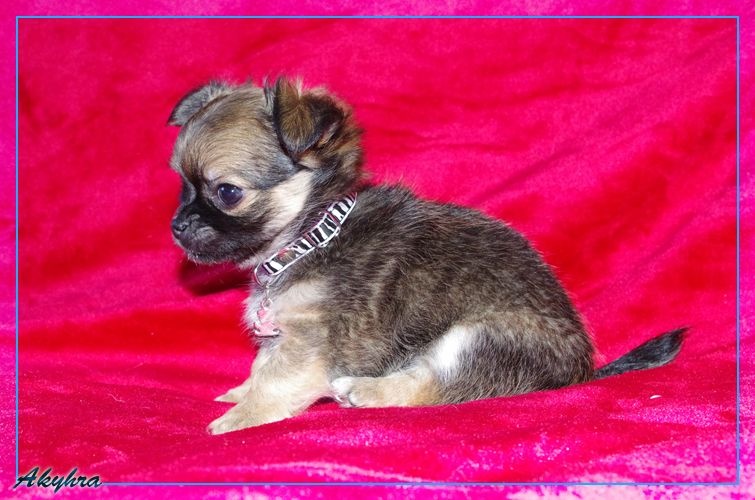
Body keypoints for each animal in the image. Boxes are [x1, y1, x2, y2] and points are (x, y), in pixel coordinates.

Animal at [167, 77, 686, 435]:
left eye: (227, 192)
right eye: (182, 184)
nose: (177, 226)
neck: (311, 237)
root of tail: (582, 369)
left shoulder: (308, 342)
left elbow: (276, 380)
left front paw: (241, 417)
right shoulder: (283, 335)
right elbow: (261, 366)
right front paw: (241, 392)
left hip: (475, 338)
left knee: (435, 386)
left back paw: (364, 389)